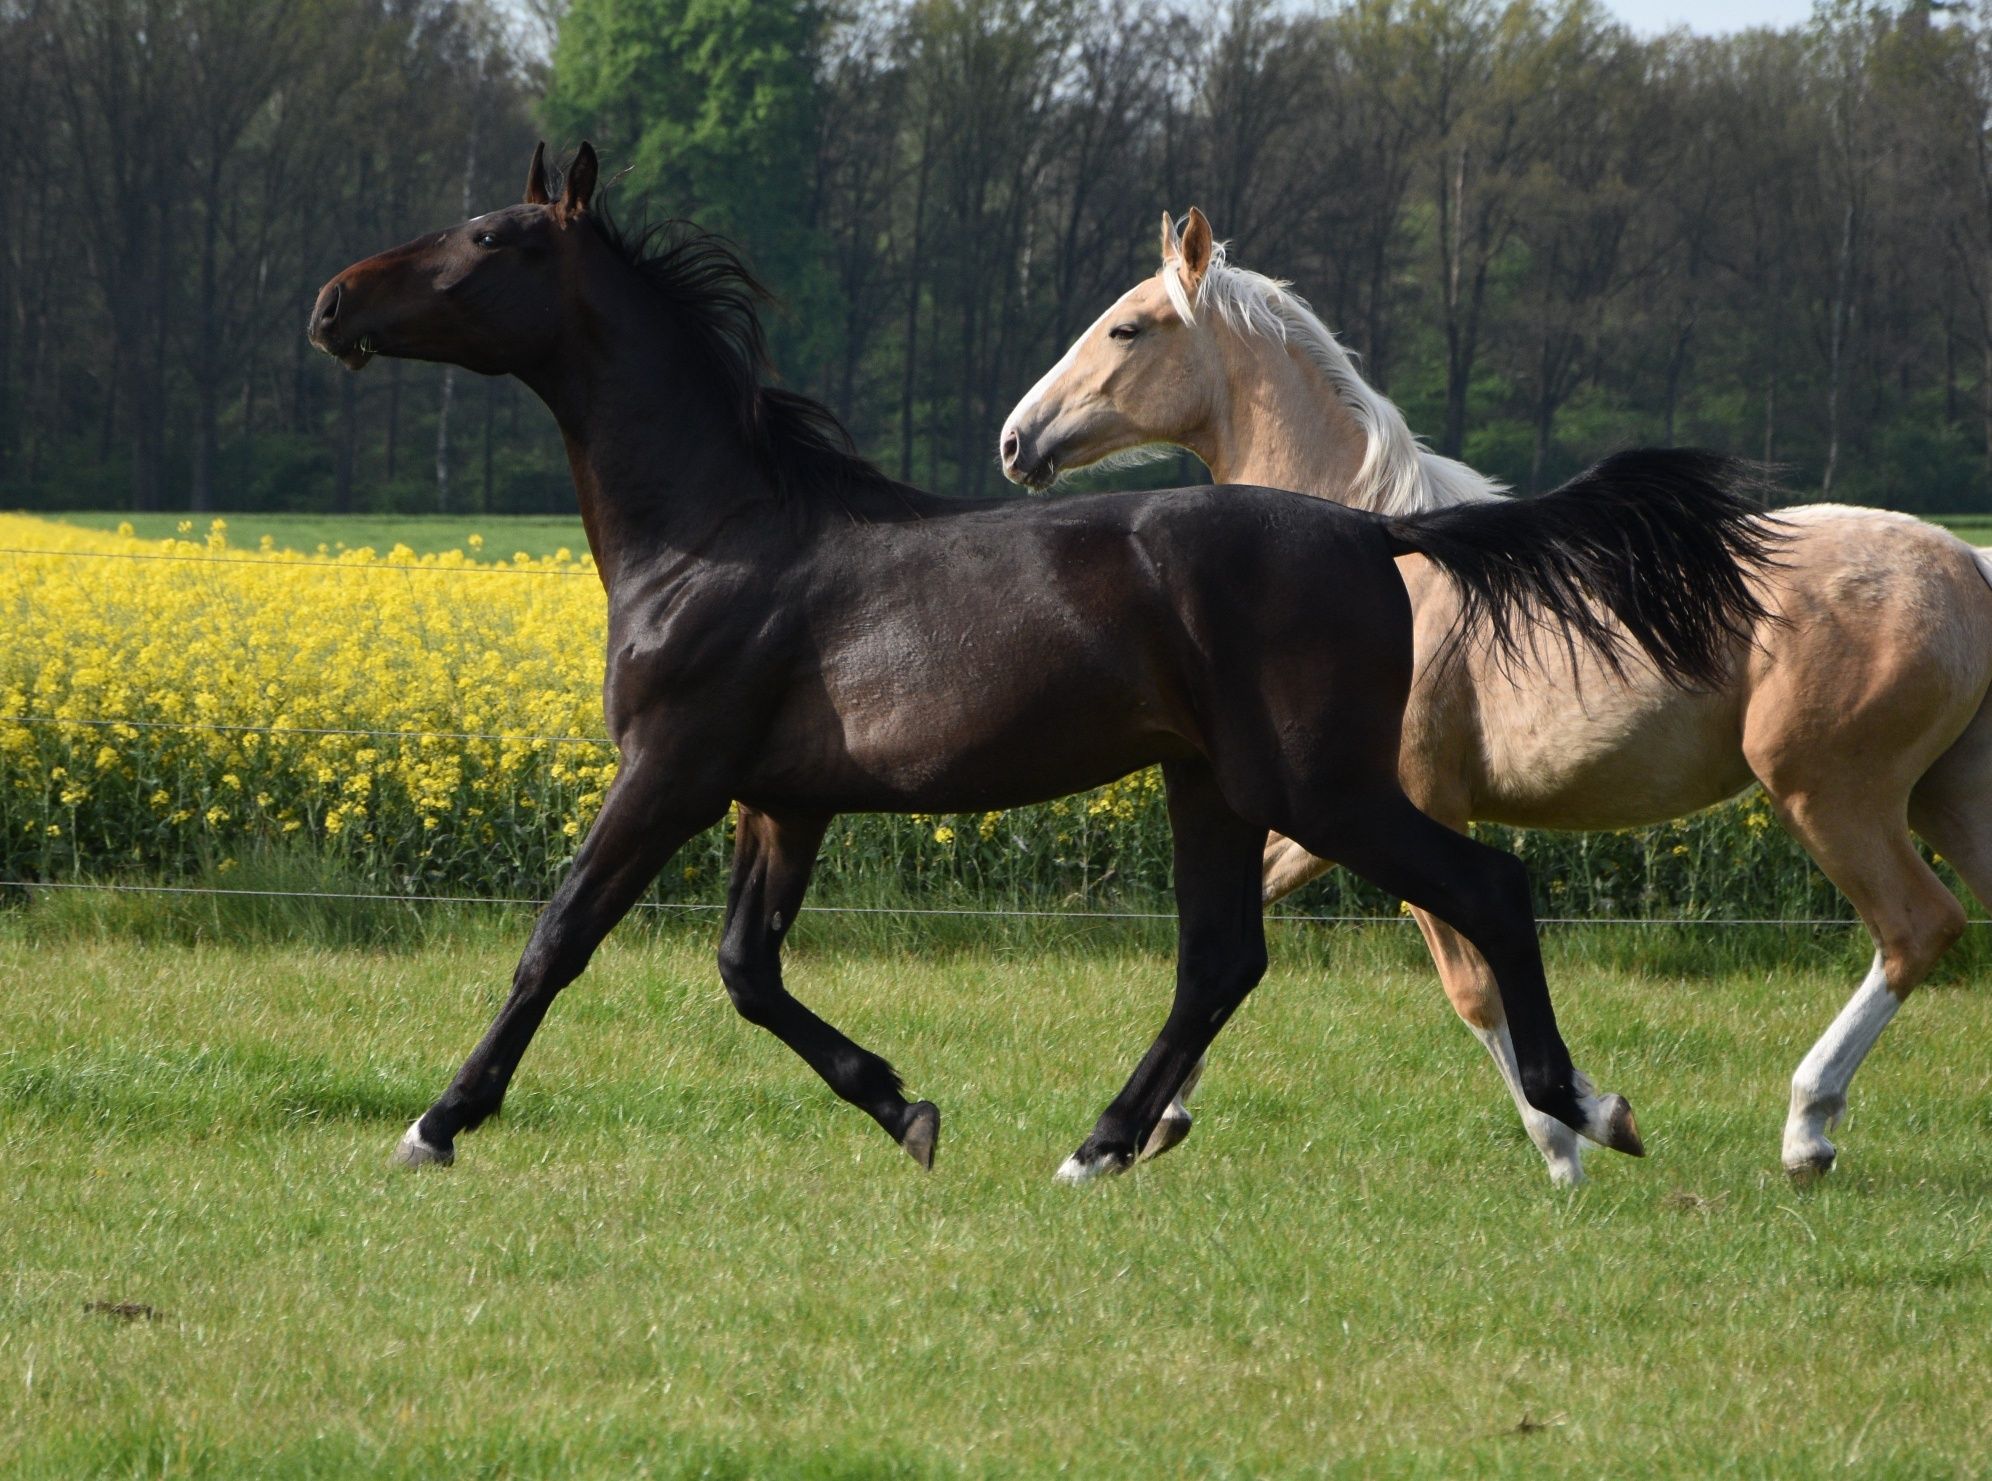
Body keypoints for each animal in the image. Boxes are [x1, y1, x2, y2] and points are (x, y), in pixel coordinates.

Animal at [306, 144, 1776, 1187]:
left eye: (489, 239)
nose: (331, 300)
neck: (721, 531)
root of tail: (1374, 527)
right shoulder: (782, 799)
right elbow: (746, 970)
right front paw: (906, 1107)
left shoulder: (671, 768)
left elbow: (557, 937)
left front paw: (437, 1122)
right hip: (1214, 786)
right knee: (1220, 959)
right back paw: (1103, 1143)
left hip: (1319, 787)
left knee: (1486, 891)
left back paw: (1586, 1109)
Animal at [1003, 208, 1992, 1187]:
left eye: (1127, 328)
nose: (1017, 441)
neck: (1374, 553)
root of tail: (1966, 560)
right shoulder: (1328, 817)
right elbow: (1241, 929)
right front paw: (1160, 1116)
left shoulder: (1410, 807)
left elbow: (1472, 984)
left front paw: (1569, 1143)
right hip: (1944, 795)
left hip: (1828, 793)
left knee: (1916, 927)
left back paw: (1807, 1131)